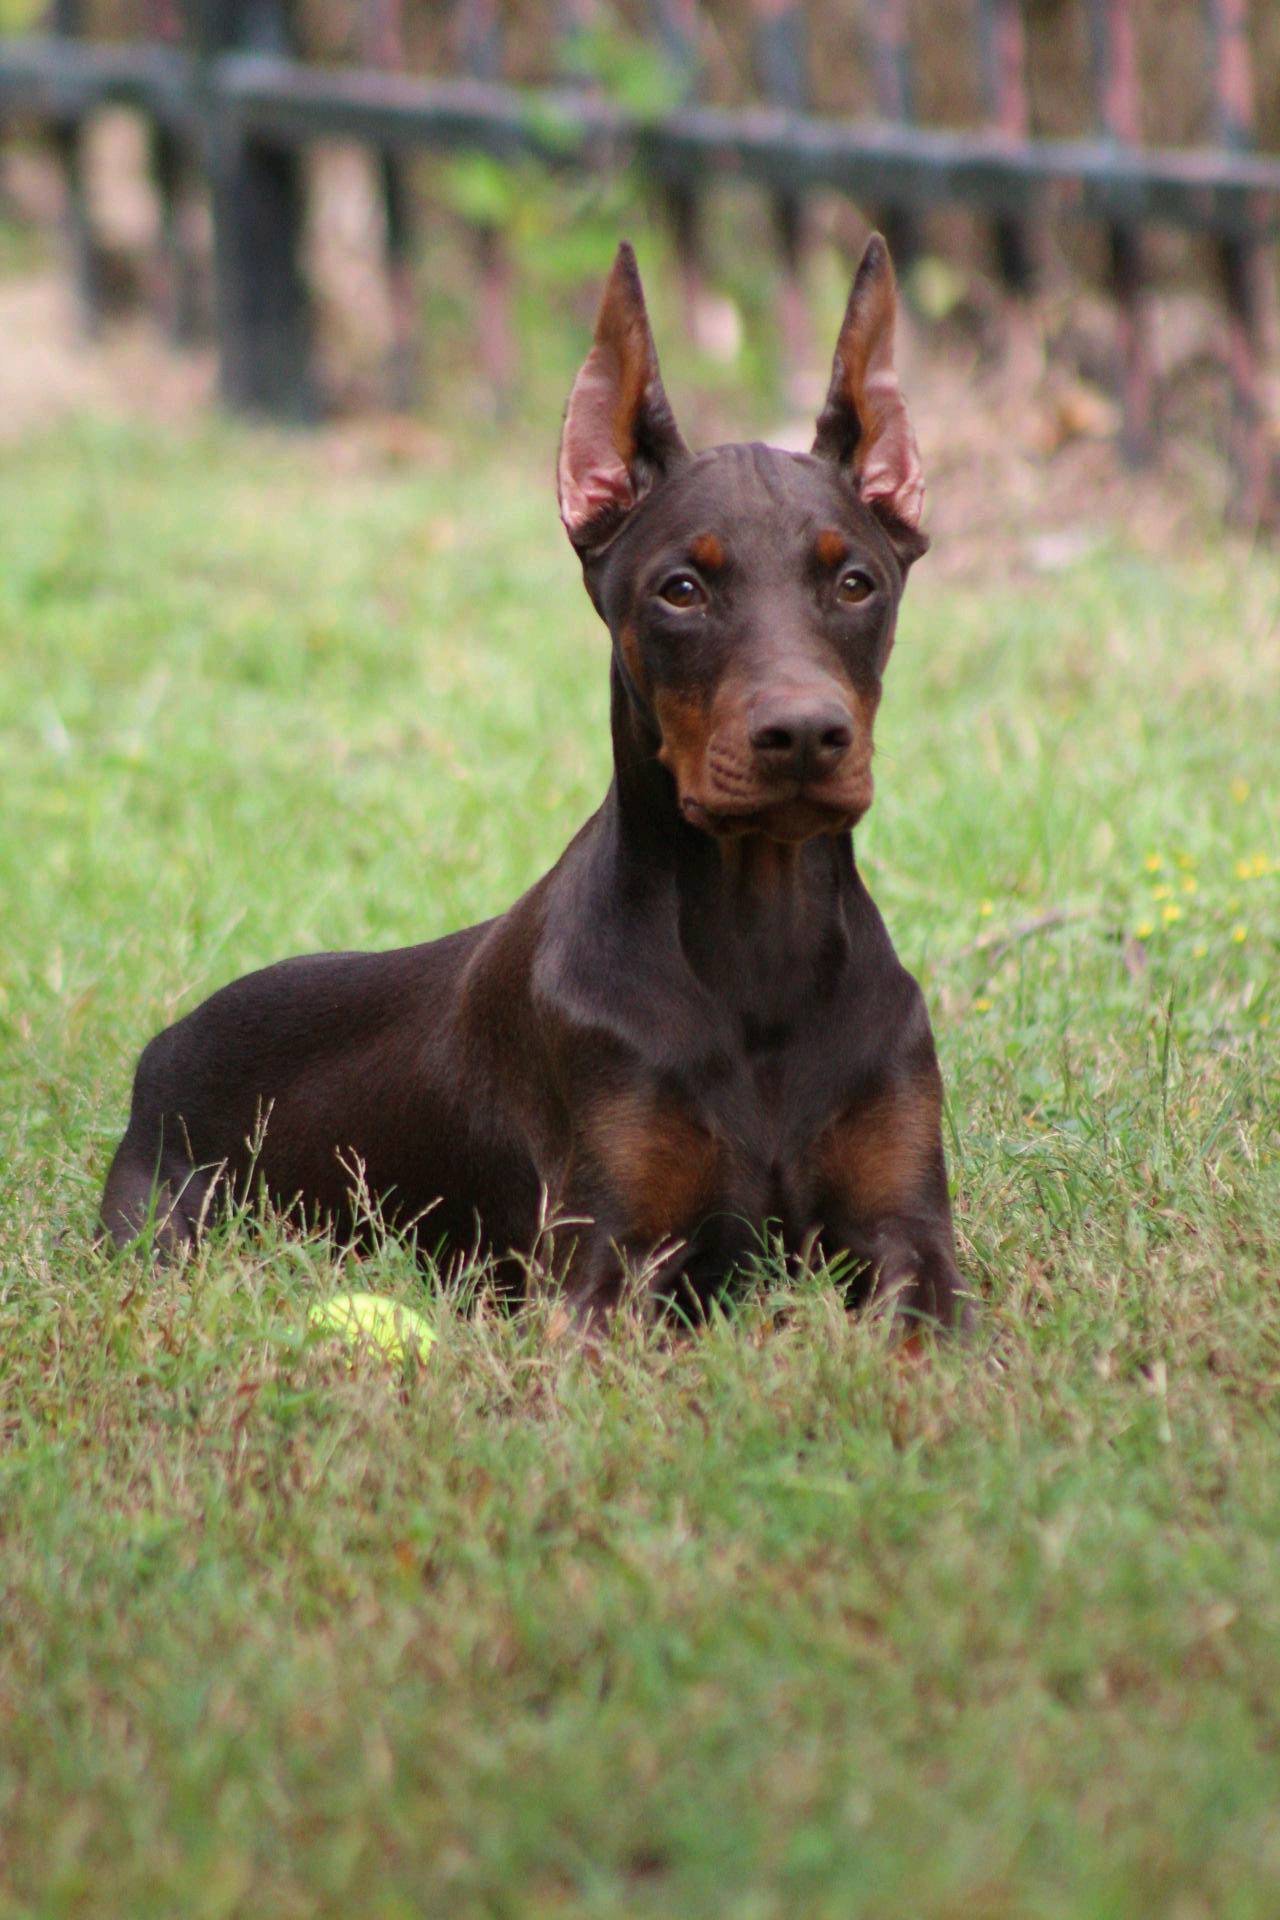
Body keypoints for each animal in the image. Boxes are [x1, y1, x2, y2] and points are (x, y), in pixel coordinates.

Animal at [100, 234, 967, 1332]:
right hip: (165, 1229)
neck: (757, 946)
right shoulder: (609, 1263)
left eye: (855, 582)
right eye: (681, 590)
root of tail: (162, 1045)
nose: (805, 736)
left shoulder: (908, 1232)